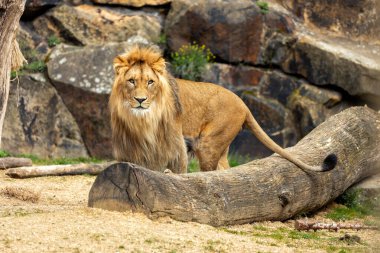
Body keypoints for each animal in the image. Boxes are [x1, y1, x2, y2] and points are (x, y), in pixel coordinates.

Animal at [108, 44, 336, 174]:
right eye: (131, 81)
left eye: (150, 82)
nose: (140, 100)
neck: (142, 120)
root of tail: (243, 103)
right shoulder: (132, 143)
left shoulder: (175, 142)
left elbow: (178, 167)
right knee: (226, 172)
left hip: (208, 143)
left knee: (211, 175)